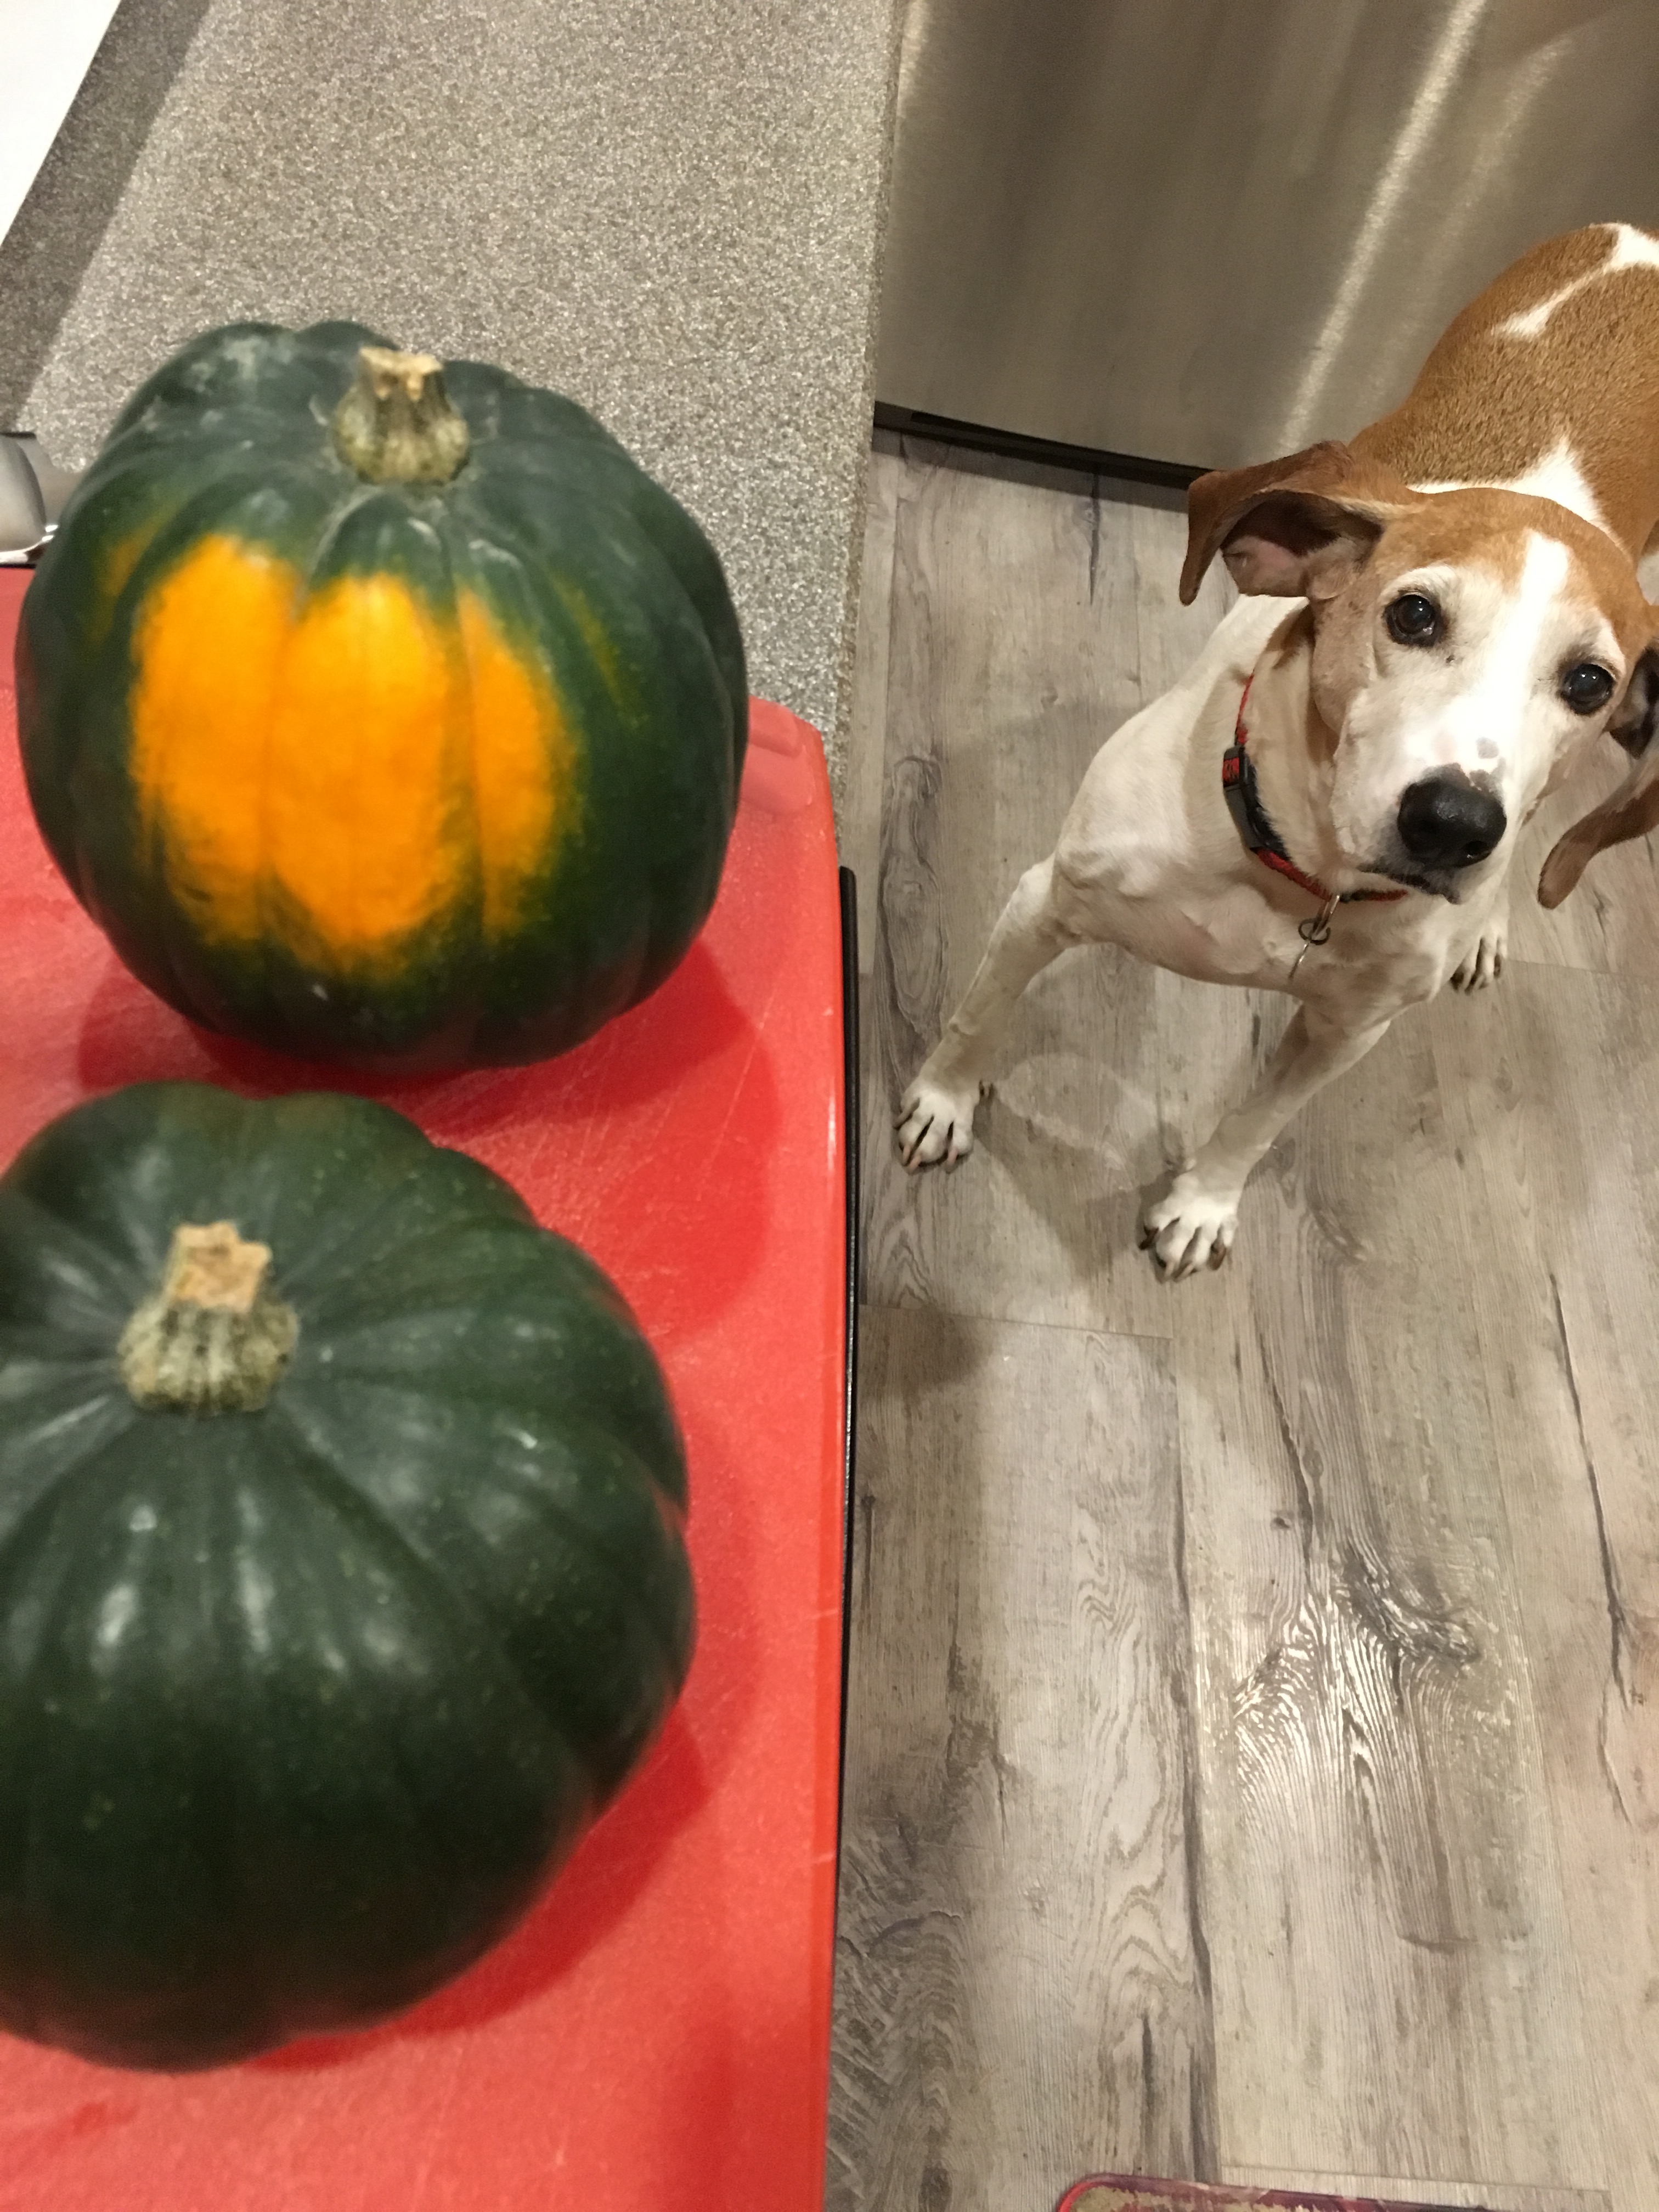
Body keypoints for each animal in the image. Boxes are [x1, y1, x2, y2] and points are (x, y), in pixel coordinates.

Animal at [896, 223, 1659, 1279]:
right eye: (1412, 615)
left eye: (1588, 681)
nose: (1453, 823)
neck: (1299, 879)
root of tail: (1635, 238)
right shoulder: (1045, 901)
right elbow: (979, 1015)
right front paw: (941, 1103)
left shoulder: (1346, 1031)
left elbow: (1257, 1120)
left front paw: (1201, 1202)